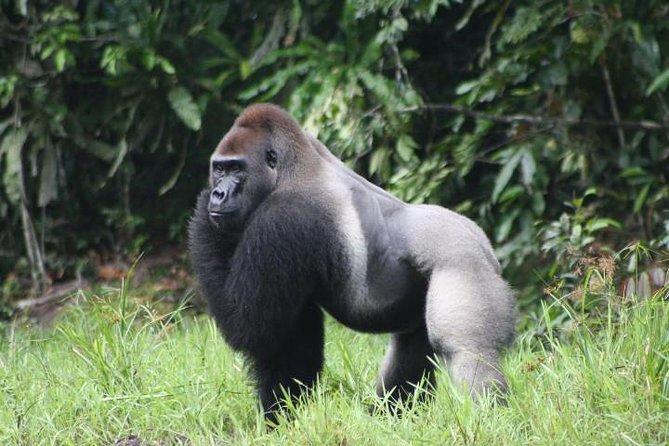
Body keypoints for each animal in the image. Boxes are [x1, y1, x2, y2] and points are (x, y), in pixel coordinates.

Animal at [188, 103, 516, 420]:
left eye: (236, 168)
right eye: (219, 169)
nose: (218, 193)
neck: (292, 169)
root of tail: (483, 245)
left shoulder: (281, 219)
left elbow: (249, 325)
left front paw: (201, 207)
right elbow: (286, 336)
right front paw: (282, 415)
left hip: (463, 262)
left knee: (467, 351)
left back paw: (487, 419)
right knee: (411, 345)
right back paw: (389, 416)